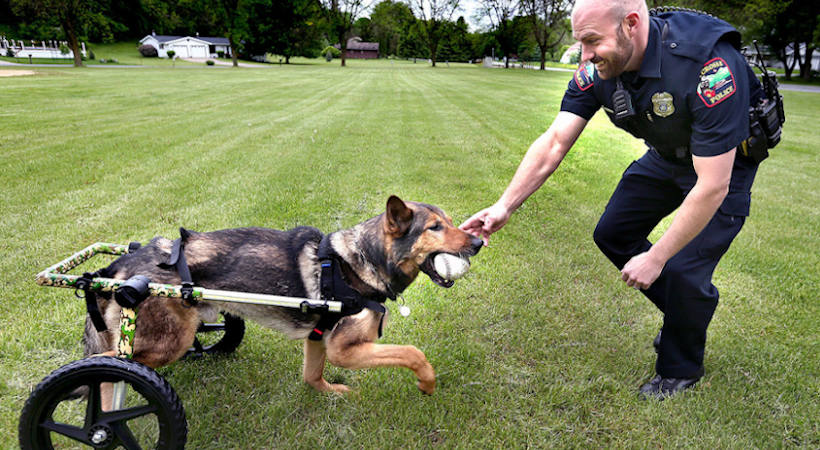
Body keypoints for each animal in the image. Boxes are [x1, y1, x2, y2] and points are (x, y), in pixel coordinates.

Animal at [85, 197, 480, 398]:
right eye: (435, 228)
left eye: (452, 222)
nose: (478, 241)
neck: (364, 259)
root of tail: (118, 267)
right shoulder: (345, 350)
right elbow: (413, 353)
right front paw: (427, 383)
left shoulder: (318, 340)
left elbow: (312, 377)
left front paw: (332, 393)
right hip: (165, 343)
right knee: (105, 368)